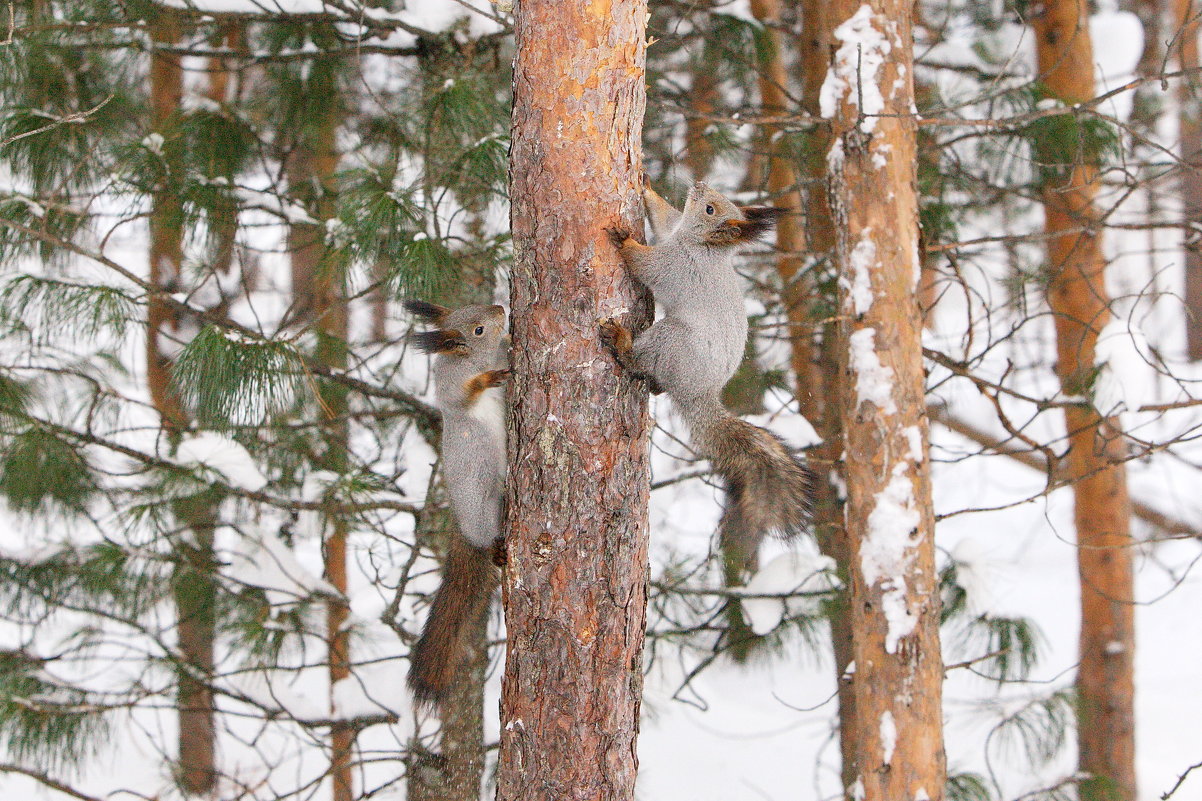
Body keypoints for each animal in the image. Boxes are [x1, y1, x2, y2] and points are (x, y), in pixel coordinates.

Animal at [403, 299, 507, 707]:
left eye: (477, 305)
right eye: (477, 329)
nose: (502, 309)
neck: (468, 360)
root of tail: (463, 527)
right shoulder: (451, 393)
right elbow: (464, 396)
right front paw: (489, 379)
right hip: (484, 507)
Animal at [601, 182, 817, 560]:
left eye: (711, 210)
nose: (698, 186)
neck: (701, 246)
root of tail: (698, 394)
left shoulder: (673, 266)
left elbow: (645, 263)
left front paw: (625, 241)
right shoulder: (672, 227)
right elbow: (664, 216)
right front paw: (648, 187)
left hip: (670, 340)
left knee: (640, 363)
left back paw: (623, 343)